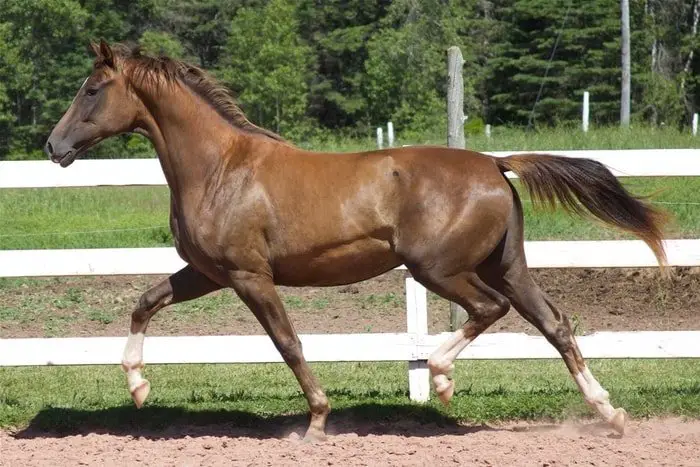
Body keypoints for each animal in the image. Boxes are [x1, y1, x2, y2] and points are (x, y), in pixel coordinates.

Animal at [43, 41, 668, 442]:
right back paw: (609, 414)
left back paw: (441, 376)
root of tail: (494, 163)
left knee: (491, 310)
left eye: (92, 89)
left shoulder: (249, 276)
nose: (54, 146)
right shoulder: (208, 273)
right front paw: (138, 388)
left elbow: (288, 343)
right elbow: (144, 303)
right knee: (554, 323)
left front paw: (318, 422)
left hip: (440, 269)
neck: (221, 168)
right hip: (505, 265)